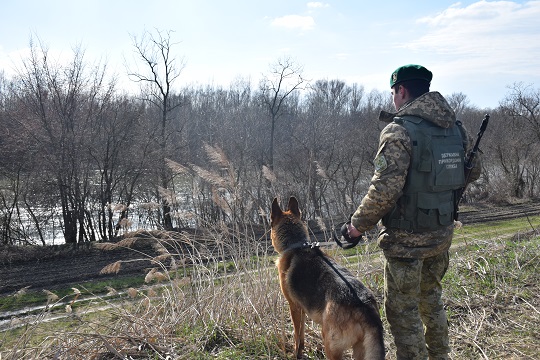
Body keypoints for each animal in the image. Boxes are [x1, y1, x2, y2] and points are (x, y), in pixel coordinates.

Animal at [270, 197, 384, 360]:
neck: (296, 244)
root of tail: (365, 308)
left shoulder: (294, 307)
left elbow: (298, 337)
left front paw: (296, 354)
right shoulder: (302, 310)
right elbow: (302, 337)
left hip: (330, 344)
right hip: (359, 350)